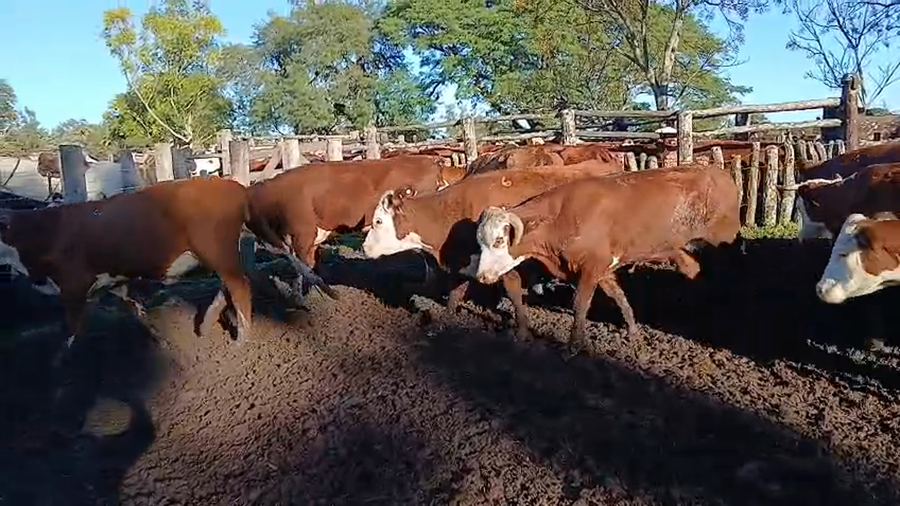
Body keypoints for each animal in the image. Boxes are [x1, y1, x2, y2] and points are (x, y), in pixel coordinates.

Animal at [0, 177, 322, 366]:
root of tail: (236, 186)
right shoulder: (113, 283)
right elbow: (135, 309)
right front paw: (161, 341)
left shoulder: (73, 287)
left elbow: (71, 332)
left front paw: (57, 366)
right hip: (220, 253)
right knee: (233, 283)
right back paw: (206, 324)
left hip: (215, 250)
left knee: (239, 286)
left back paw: (241, 339)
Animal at [361, 158, 625, 324]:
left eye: (378, 221)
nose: (364, 247)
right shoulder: (464, 263)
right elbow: (455, 294)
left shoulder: (503, 260)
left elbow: (513, 291)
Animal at [472, 164, 741, 353]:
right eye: (481, 242)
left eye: (499, 240)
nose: (481, 276)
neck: (563, 216)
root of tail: (722, 175)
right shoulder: (602, 269)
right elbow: (618, 297)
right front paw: (633, 331)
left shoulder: (592, 267)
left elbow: (580, 304)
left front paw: (574, 345)